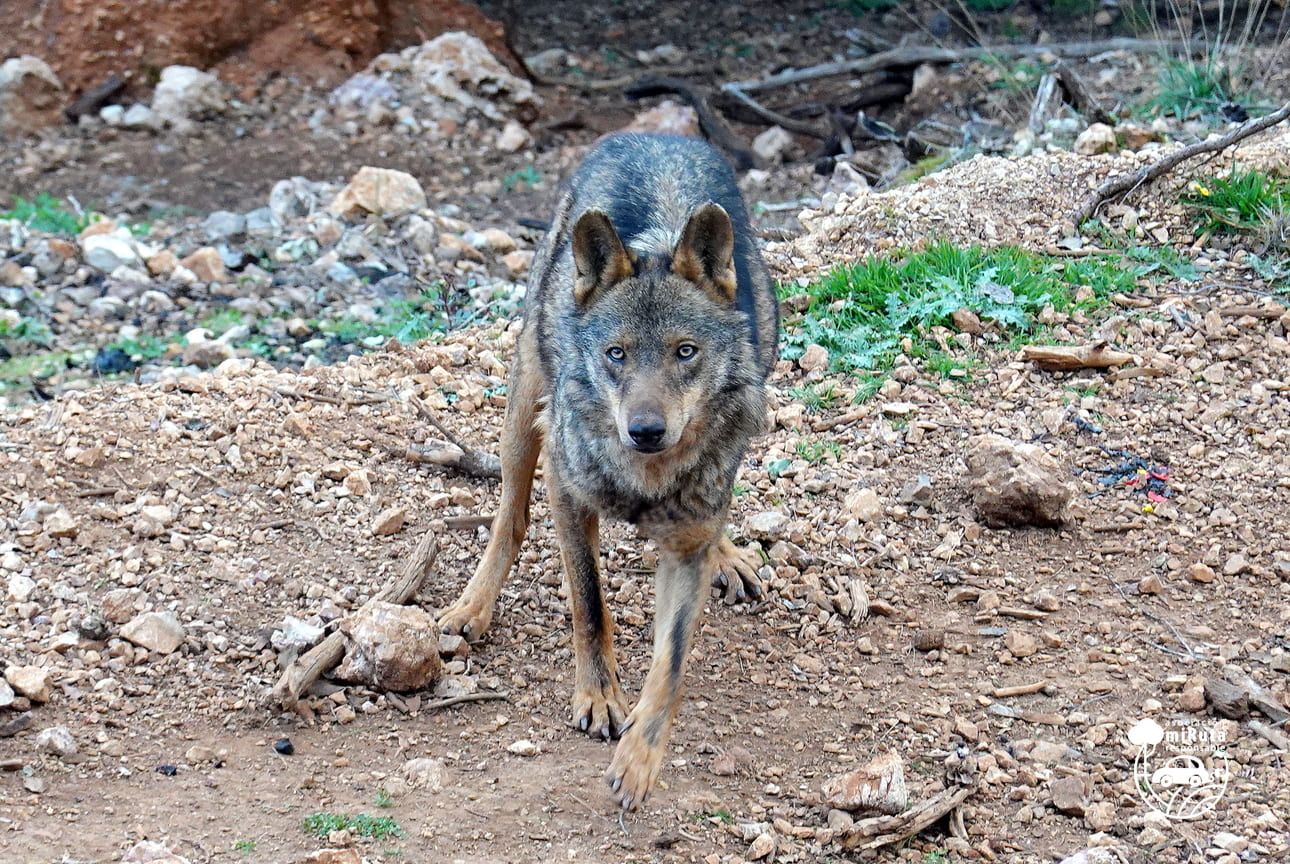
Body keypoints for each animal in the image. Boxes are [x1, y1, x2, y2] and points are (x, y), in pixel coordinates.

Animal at [437, 132, 779, 810]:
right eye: (615, 354)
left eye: (685, 352)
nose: (645, 430)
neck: (646, 478)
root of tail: (652, 135)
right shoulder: (568, 493)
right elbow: (589, 603)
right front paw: (598, 698)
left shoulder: (685, 549)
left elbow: (670, 663)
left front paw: (640, 760)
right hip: (527, 408)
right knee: (509, 518)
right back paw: (471, 607)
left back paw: (730, 555)